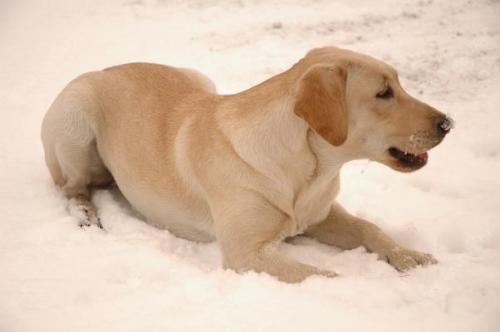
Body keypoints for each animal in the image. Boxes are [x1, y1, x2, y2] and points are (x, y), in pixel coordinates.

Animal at [41, 45, 452, 282]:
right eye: (383, 93)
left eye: (399, 84)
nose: (448, 123)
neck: (309, 169)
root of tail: (108, 67)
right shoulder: (246, 253)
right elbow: (323, 277)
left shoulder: (319, 215)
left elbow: (371, 229)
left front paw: (411, 257)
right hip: (75, 116)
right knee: (73, 188)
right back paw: (87, 216)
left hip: (199, 77)